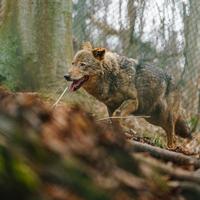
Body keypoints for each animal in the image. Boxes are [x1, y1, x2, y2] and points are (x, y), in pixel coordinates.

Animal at [64, 42, 192, 148]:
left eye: (82, 64)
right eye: (73, 63)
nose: (66, 76)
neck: (111, 76)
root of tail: (177, 85)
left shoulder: (133, 101)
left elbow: (118, 115)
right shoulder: (110, 107)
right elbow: (112, 119)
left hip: (164, 117)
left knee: (172, 135)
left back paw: (171, 148)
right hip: (153, 118)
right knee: (173, 135)